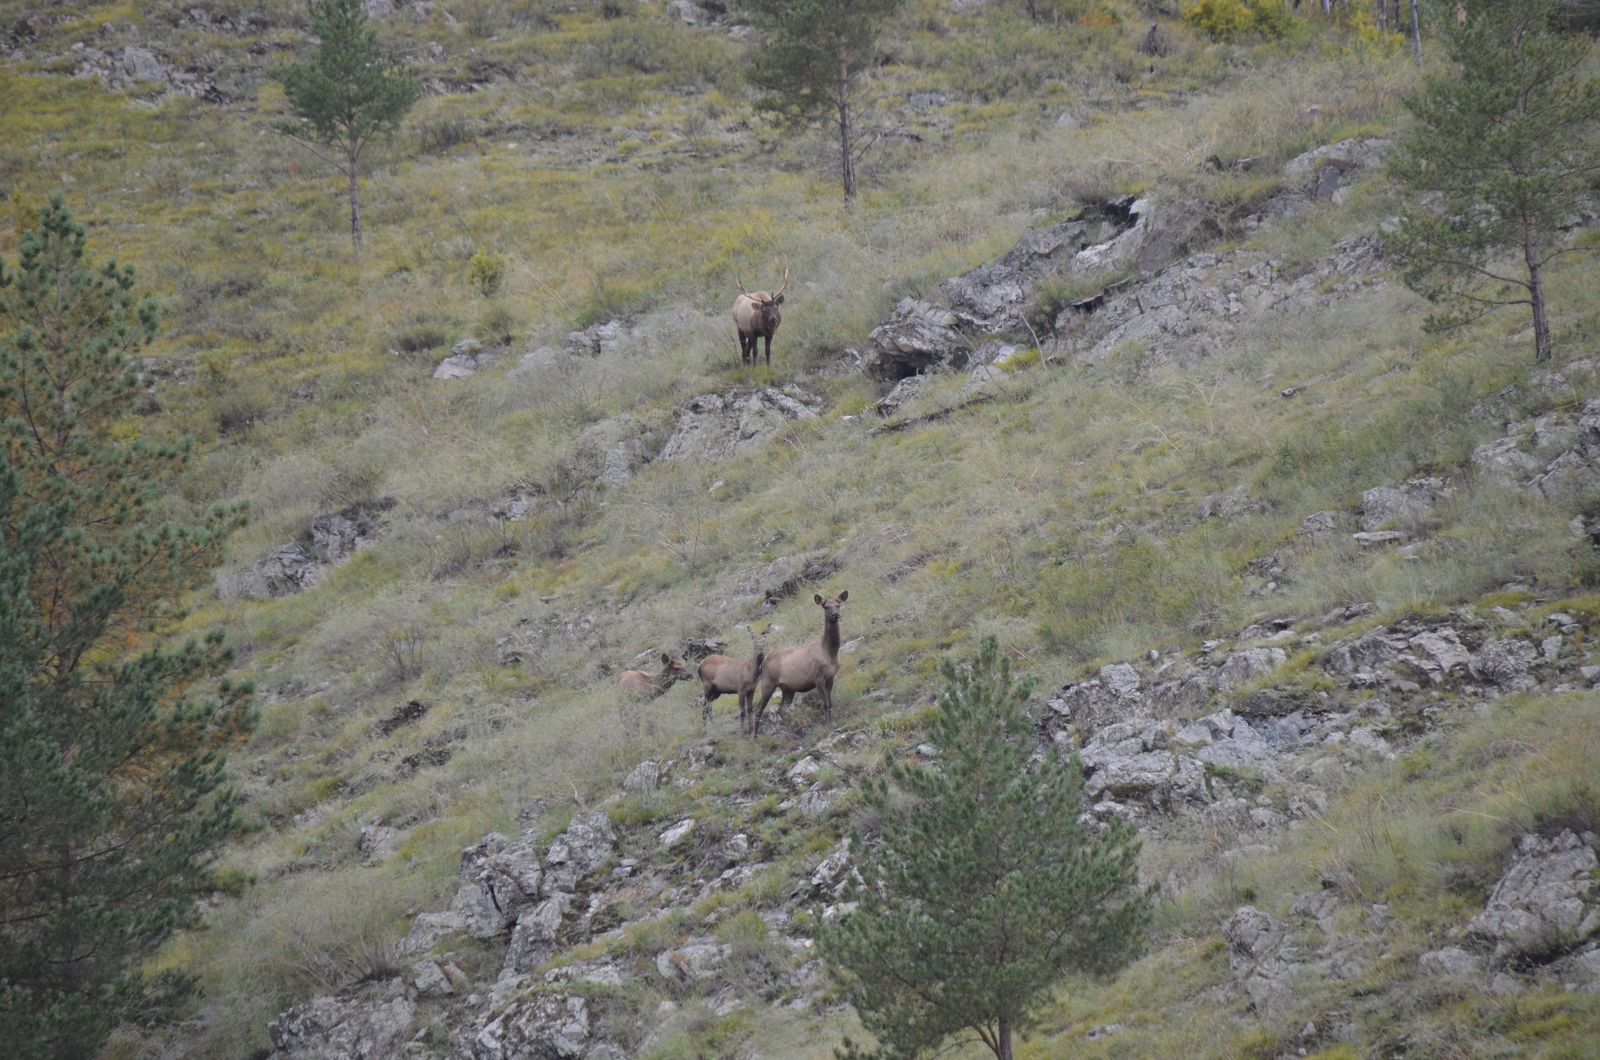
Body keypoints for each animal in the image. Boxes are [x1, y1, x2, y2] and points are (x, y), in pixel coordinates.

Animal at [752, 589, 851, 739]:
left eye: (838, 604)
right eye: (826, 606)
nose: (835, 614)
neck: (830, 652)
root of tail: (763, 663)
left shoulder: (830, 677)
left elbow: (830, 702)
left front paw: (832, 724)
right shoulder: (818, 677)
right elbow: (825, 703)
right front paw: (828, 727)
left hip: (788, 688)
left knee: (782, 709)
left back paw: (791, 735)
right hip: (768, 682)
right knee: (759, 709)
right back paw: (754, 737)